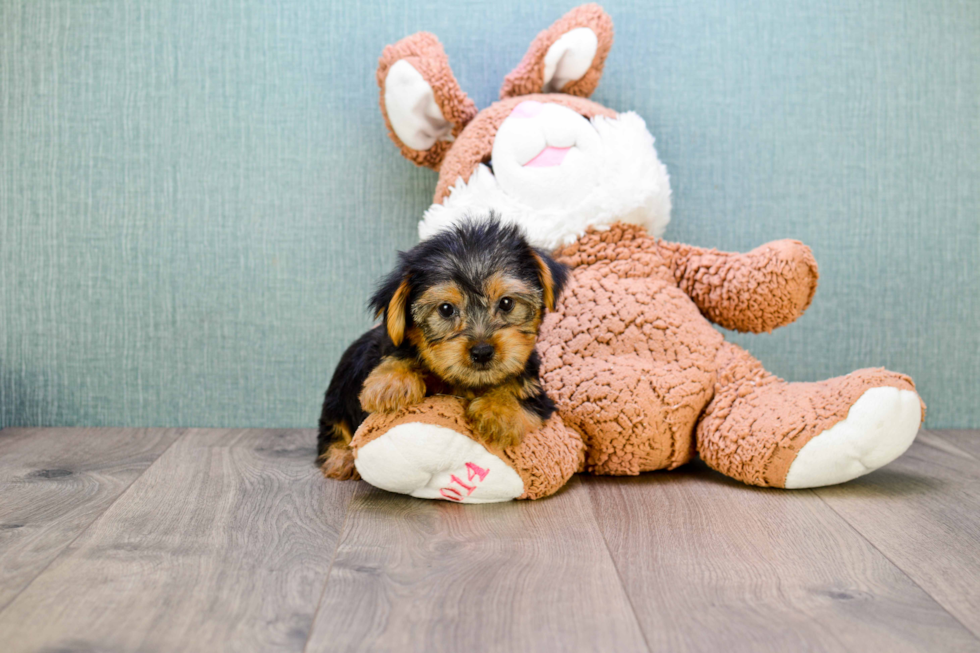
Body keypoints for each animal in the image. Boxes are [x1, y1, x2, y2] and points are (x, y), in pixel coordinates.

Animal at [318, 218, 572, 478]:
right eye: (446, 309)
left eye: (506, 303)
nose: (482, 351)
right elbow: (399, 352)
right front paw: (391, 384)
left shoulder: (539, 394)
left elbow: (522, 393)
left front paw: (499, 411)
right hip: (336, 399)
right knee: (333, 428)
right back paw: (341, 459)